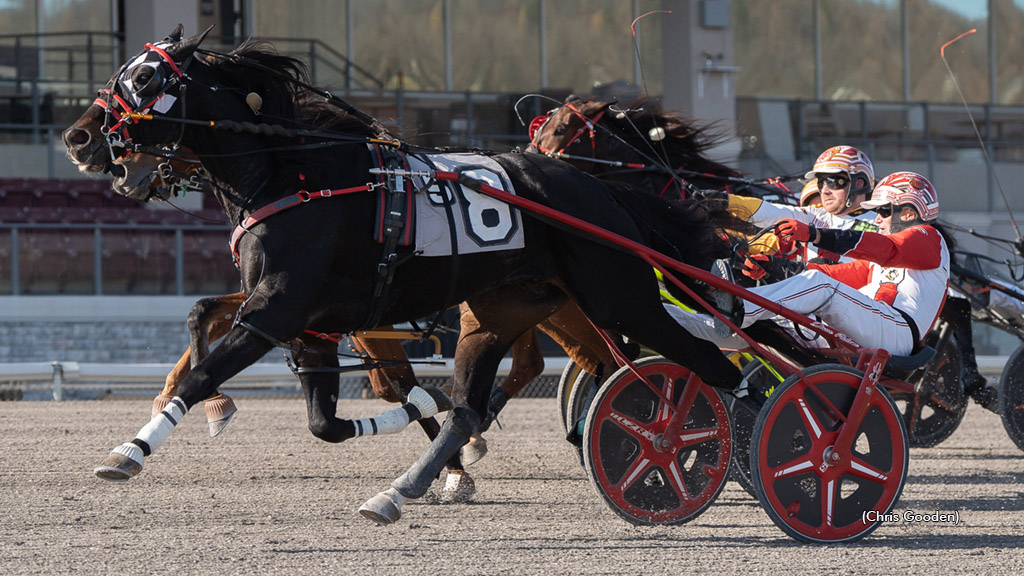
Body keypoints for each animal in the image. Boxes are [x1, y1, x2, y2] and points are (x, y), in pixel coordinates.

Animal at [66, 25, 745, 520]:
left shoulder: (277, 312)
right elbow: (328, 420)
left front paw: (131, 449)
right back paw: (405, 484)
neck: (295, 177)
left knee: (702, 367)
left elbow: (206, 372)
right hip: (502, 313)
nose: (78, 138)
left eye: (144, 77)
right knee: (499, 396)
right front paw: (427, 419)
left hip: (616, 298)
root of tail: (598, 189)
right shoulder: (311, 327)